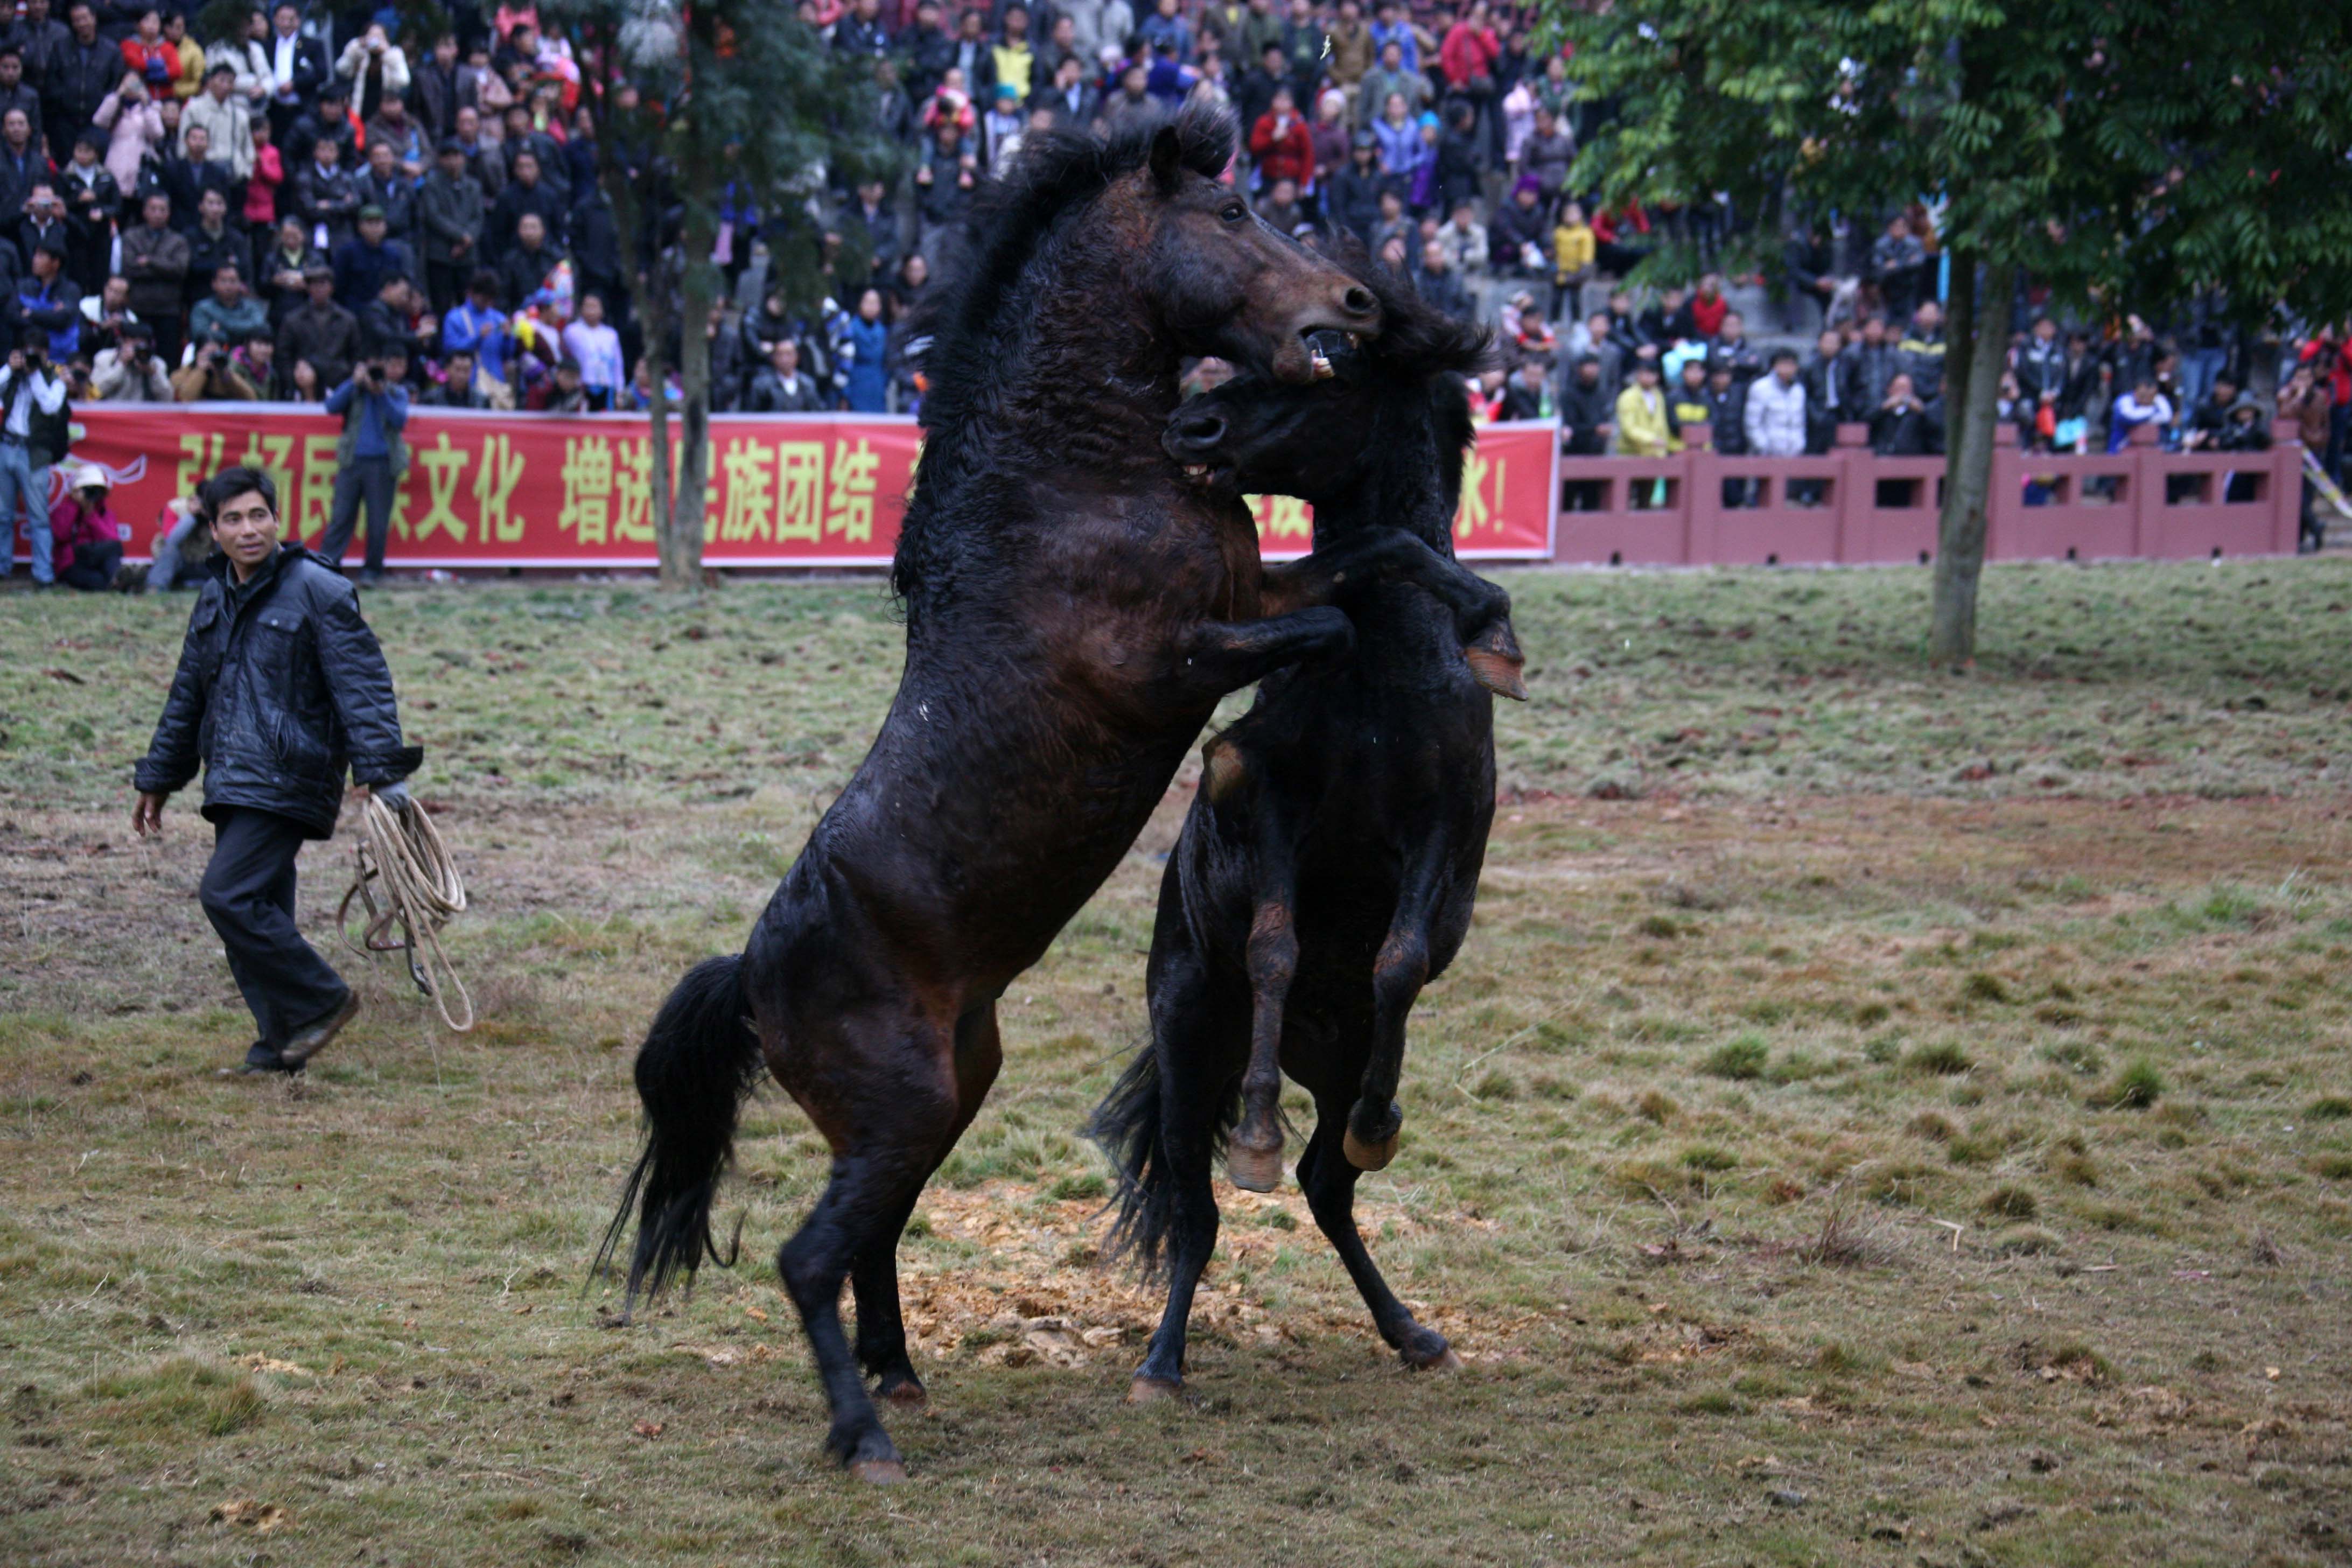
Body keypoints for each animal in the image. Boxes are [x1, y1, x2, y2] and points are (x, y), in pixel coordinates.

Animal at [592, 113, 1505, 1486]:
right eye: (1232, 211)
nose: (1350, 301)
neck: (1071, 485)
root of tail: (750, 972)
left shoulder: (1251, 589)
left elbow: (1378, 556)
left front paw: (1485, 621)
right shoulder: (1182, 655)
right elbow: (1343, 610)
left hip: (941, 1096)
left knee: (871, 1236)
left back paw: (901, 1373)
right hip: (908, 1105)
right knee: (810, 1257)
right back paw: (863, 1433)